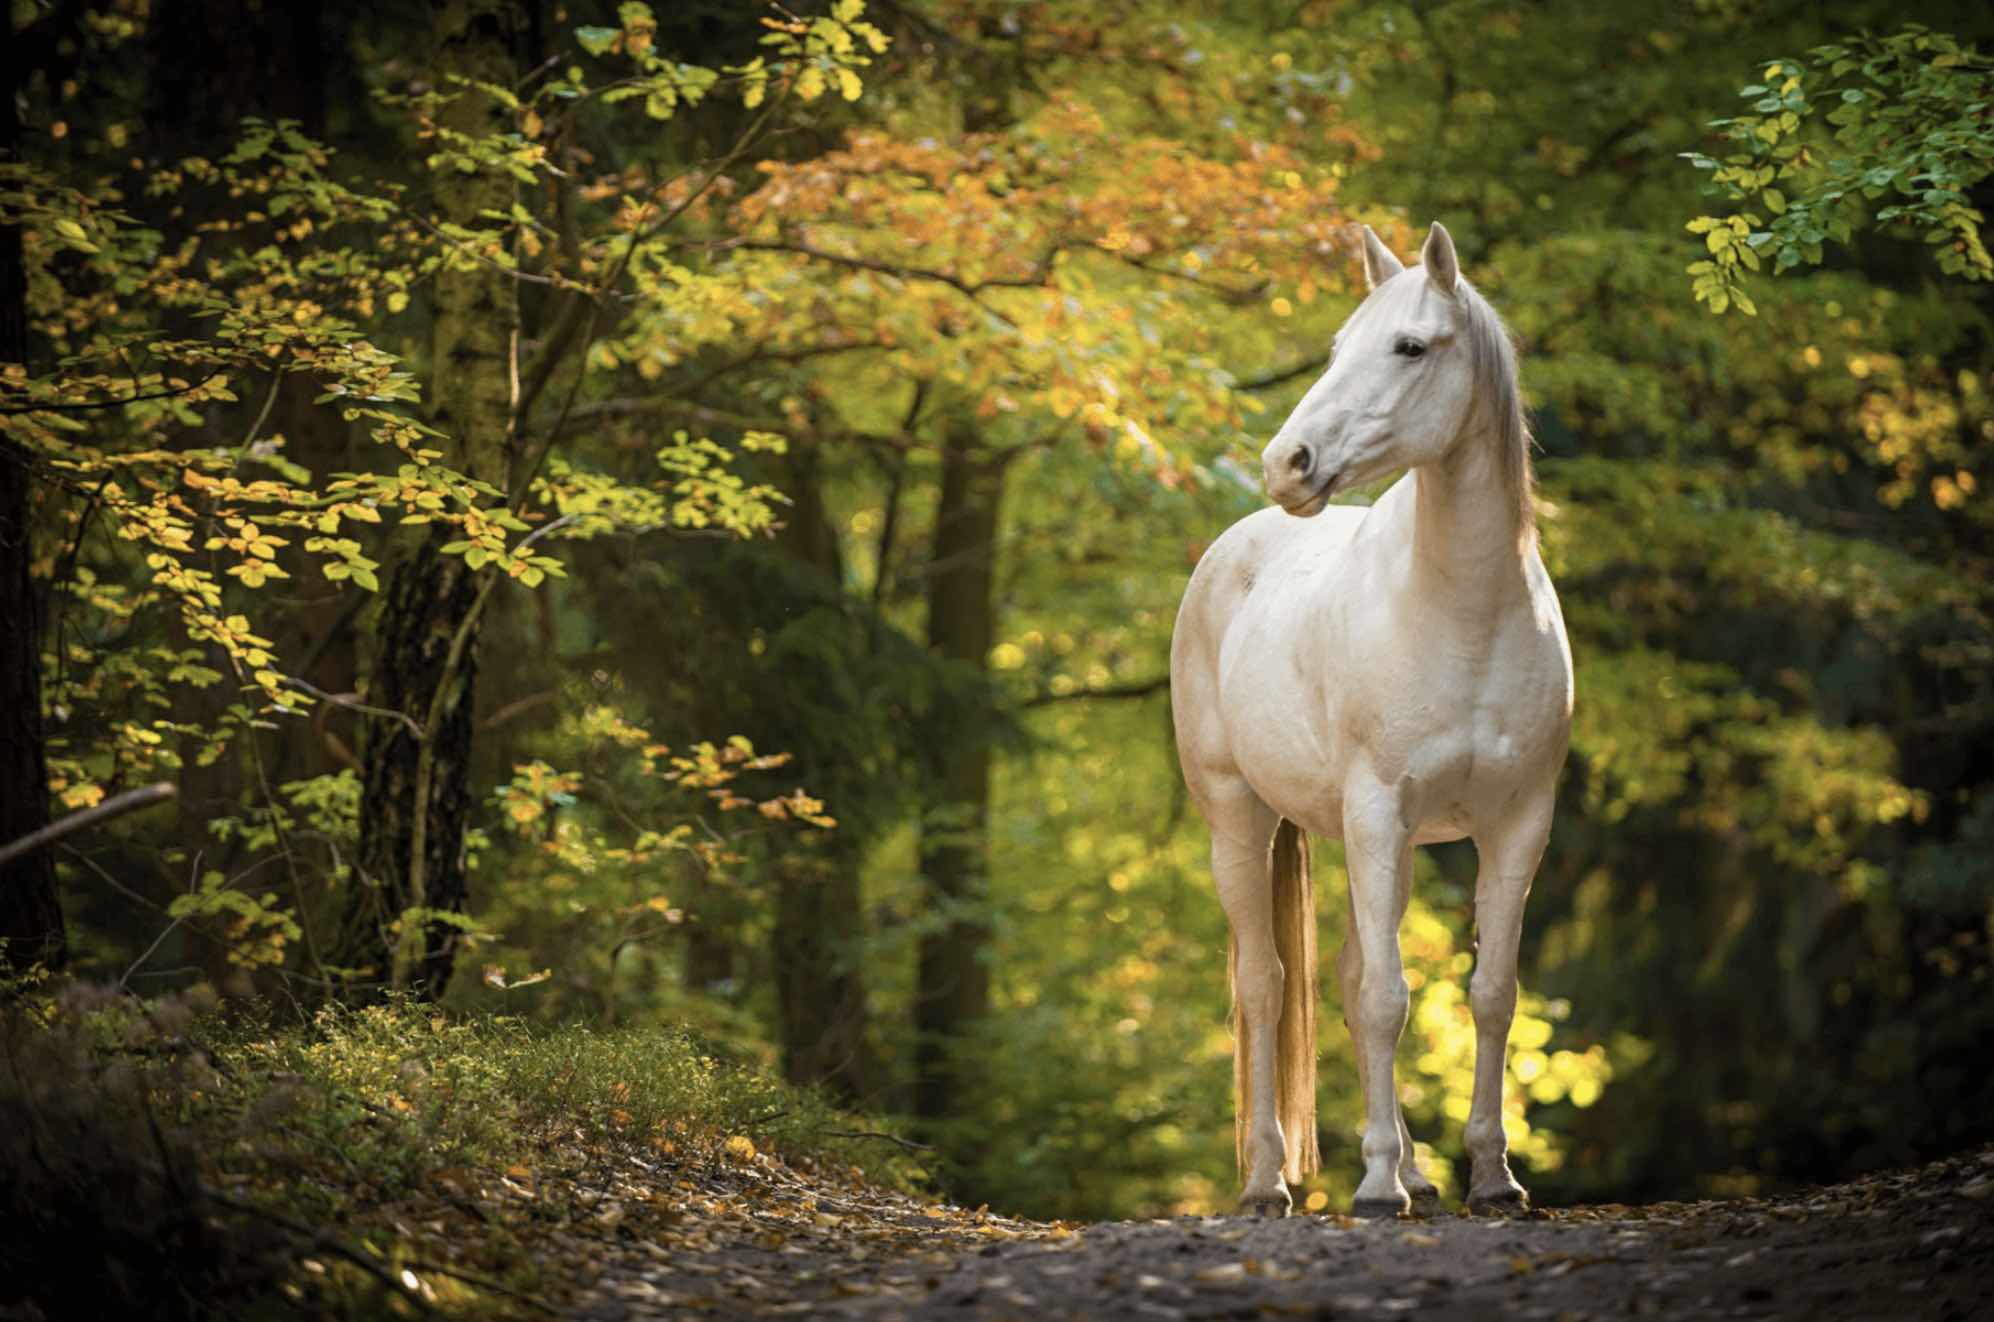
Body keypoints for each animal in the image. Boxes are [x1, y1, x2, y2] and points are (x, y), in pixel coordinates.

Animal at [1164, 219, 1571, 1220]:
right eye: (1340, 346)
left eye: (1411, 347)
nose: (1289, 463)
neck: (1466, 614)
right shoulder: (1379, 810)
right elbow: (1389, 998)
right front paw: (1378, 1188)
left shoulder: (1519, 822)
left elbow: (1489, 992)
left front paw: (1492, 1176)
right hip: (1241, 821)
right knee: (1265, 984)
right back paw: (1271, 1181)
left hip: (1369, 840)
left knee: (1348, 975)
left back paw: (1417, 1173)